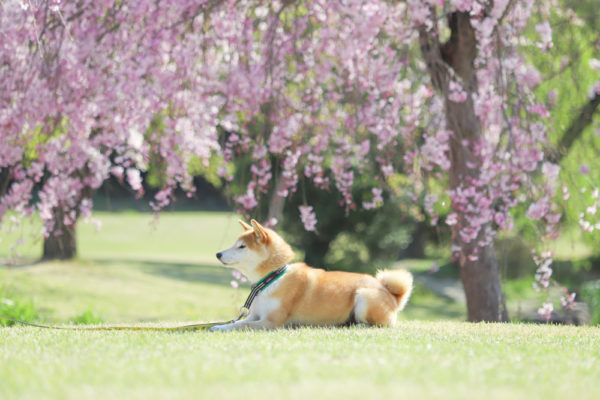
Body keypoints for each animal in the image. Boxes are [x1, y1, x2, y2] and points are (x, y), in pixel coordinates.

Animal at [211, 219, 412, 332]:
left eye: (241, 247)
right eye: (235, 244)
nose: (218, 254)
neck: (272, 279)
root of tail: (390, 294)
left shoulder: (271, 321)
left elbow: (240, 325)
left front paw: (219, 328)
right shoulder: (254, 316)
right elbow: (236, 322)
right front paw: (220, 325)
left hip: (364, 295)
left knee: (379, 324)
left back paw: (358, 325)